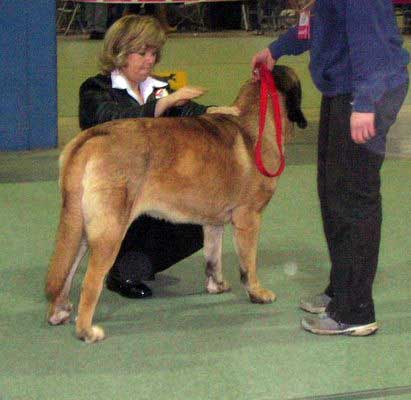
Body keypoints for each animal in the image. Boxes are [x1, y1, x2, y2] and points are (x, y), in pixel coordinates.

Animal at [45, 65, 306, 340]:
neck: (254, 122)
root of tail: (93, 136)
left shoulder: (213, 224)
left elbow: (213, 257)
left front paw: (217, 285)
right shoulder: (249, 219)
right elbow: (248, 264)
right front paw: (257, 292)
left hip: (79, 228)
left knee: (66, 271)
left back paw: (58, 312)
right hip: (109, 232)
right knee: (90, 281)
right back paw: (86, 330)